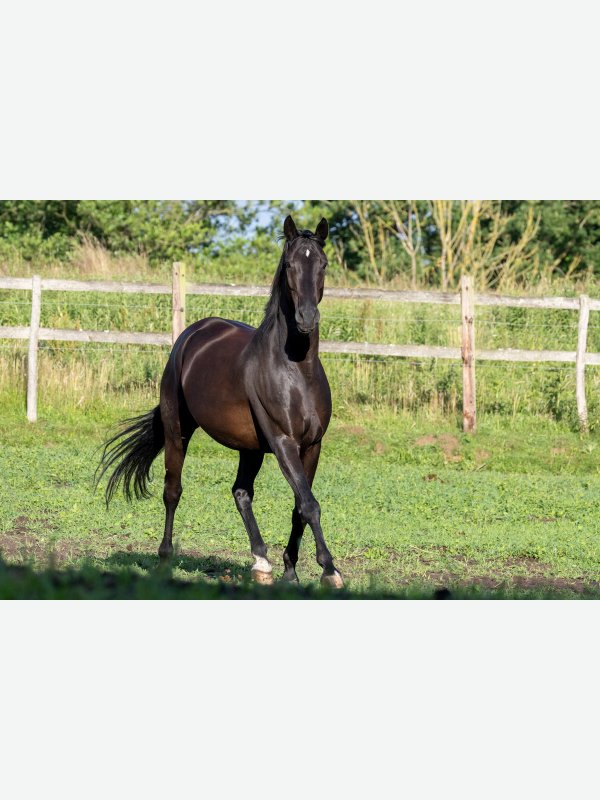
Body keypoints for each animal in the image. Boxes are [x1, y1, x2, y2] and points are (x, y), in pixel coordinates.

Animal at [96, 215, 343, 588]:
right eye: (289, 265)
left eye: (323, 264)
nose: (306, 319)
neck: (296, 370)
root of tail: (193, 334)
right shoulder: (284, 442)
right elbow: (309, 504)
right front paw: (330, 570)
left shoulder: (312, 445)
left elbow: (300, 506)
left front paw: (290, 571)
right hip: (178, 431)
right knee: (173, 490)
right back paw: (165, 559)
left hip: (250, 448)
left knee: (241, 493)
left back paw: (261, 563)